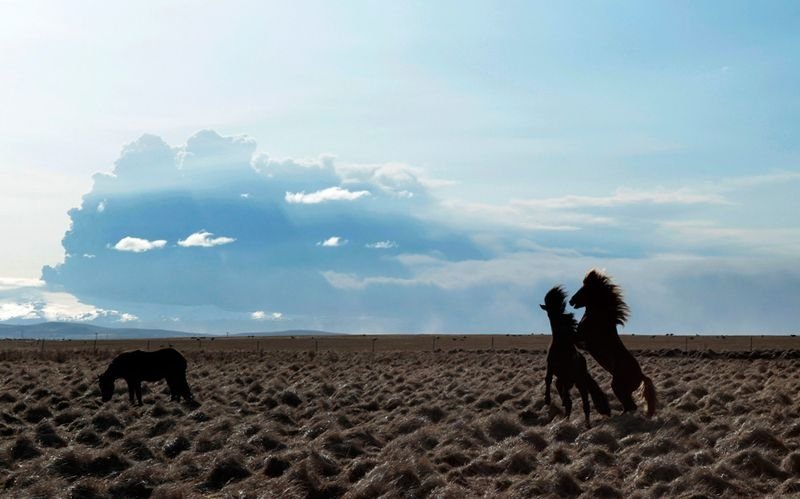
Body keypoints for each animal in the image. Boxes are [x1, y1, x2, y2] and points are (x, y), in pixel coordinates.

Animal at [544, 288, 612, 428]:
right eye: (548, 309)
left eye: (558, 307)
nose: (554, 317)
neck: (561, 345)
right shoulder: (551, 366)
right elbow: (547, 379)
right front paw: (547, 399)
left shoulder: (565, 374)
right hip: (568, 381)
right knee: (567, 399)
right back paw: (565, 418)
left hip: (580, 383)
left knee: (585, 404)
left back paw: (587, 425)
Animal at [572, 270, 660, 418]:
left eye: (584, 289)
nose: (571, 301)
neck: (599, 316)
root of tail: (641, 376)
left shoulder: (582, 339)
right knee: (629, 406)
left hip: (618, 387)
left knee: (631, 406)